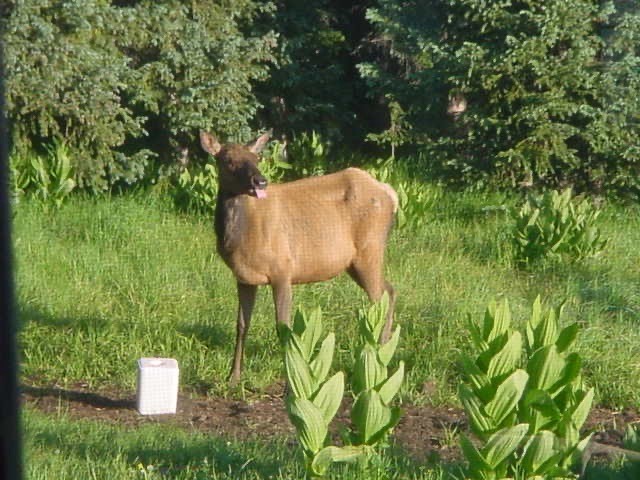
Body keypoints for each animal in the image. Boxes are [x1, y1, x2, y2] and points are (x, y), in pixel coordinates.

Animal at [201, 130, 400, 382]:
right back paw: (383, 353)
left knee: (380, 298)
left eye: (256, 158)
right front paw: (233, 377)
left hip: (370, 249)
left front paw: (291, 380)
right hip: (355, 263)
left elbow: (284, 329)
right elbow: (241, 324)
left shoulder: (282, 269)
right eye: (227, 160)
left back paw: (378, 356)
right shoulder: (244, 277)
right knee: (390, 291)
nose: (260, 181)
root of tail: (391, 194)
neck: (240, 238)